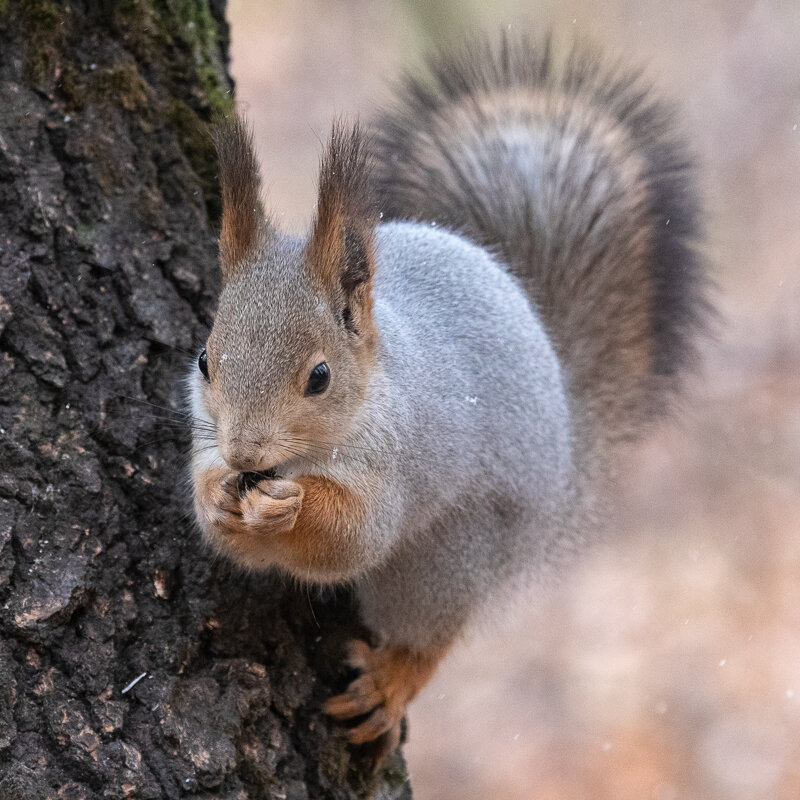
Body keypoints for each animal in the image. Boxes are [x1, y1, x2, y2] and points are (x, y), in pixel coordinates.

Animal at [188, 36, 708, 764]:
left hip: (451, 557)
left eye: (319, 376)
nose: (243, 454)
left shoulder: (401, 457)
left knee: (429, 633)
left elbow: (352, 538)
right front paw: (217, 496)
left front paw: (289, 508)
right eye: (205, 361)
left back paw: (393, 681)